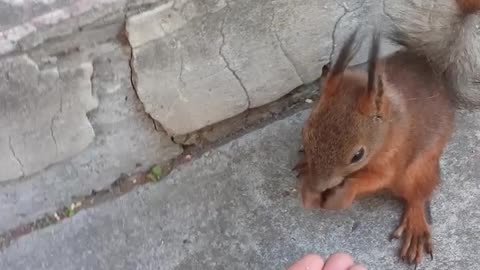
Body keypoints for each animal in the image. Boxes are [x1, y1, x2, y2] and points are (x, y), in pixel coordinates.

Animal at [292, 0, 480, 266]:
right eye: (305, 133)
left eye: (358, 155)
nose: (319, 186)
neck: (388, 127)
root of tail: (434, 71)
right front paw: (308, 182)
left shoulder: (394, 156)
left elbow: (375, 179)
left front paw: (342, 194)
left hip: (419, 167)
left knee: (418, 194)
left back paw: (415, 226)